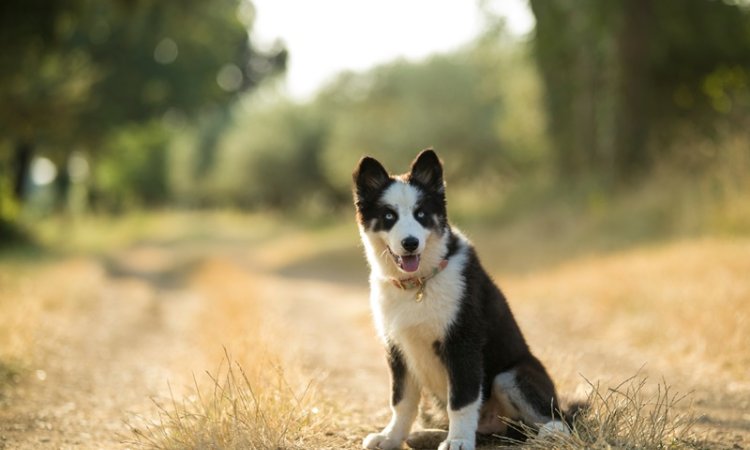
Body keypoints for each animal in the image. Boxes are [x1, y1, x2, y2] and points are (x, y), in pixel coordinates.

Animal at [356, 149, 568, 448]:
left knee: (559, 417)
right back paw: (427, 435)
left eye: (421, 214)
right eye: (388, 216)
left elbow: (462, 400)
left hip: (510, 375)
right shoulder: (397, 346)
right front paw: (391, 437)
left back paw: (551, 433)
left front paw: (458, 441)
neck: (419, 284)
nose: (410, 243)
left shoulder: (462, 343)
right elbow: (401, 400)